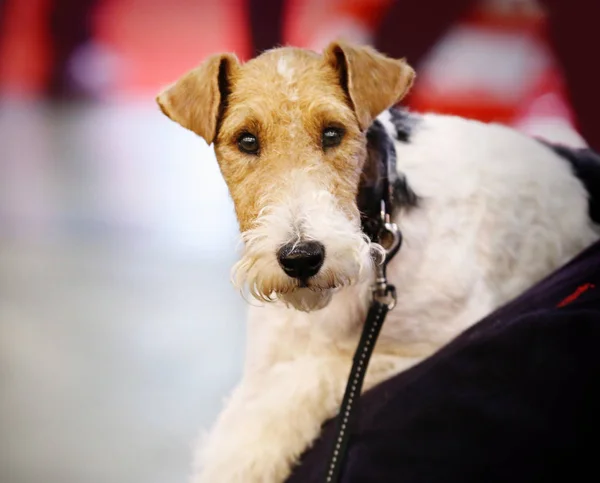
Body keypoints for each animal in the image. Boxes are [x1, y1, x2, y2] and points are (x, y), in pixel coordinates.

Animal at [156, 41, 600, 483]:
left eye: (332, 132)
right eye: (246, 140)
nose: (301, 258)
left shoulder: (434, 342)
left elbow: (317, 376)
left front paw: (243, 455)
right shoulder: (268, 356)